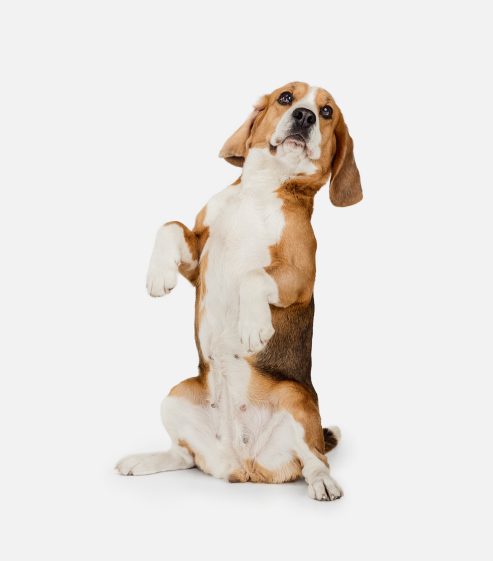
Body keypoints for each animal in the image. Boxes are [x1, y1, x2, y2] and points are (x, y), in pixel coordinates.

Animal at [115, 81, 362, 500]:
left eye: (327, 112)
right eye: (285, 98)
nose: (305, 116)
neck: (263, 188)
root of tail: (242, 463)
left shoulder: (300, 275)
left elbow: (252, 276)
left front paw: (253, 327)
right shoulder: (198, 258)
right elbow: (170, 224)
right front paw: (158, 276)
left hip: (295, 400)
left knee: (314, 459)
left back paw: (324, 482)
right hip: (175, 396)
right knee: (184, 456)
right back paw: (143, 461)